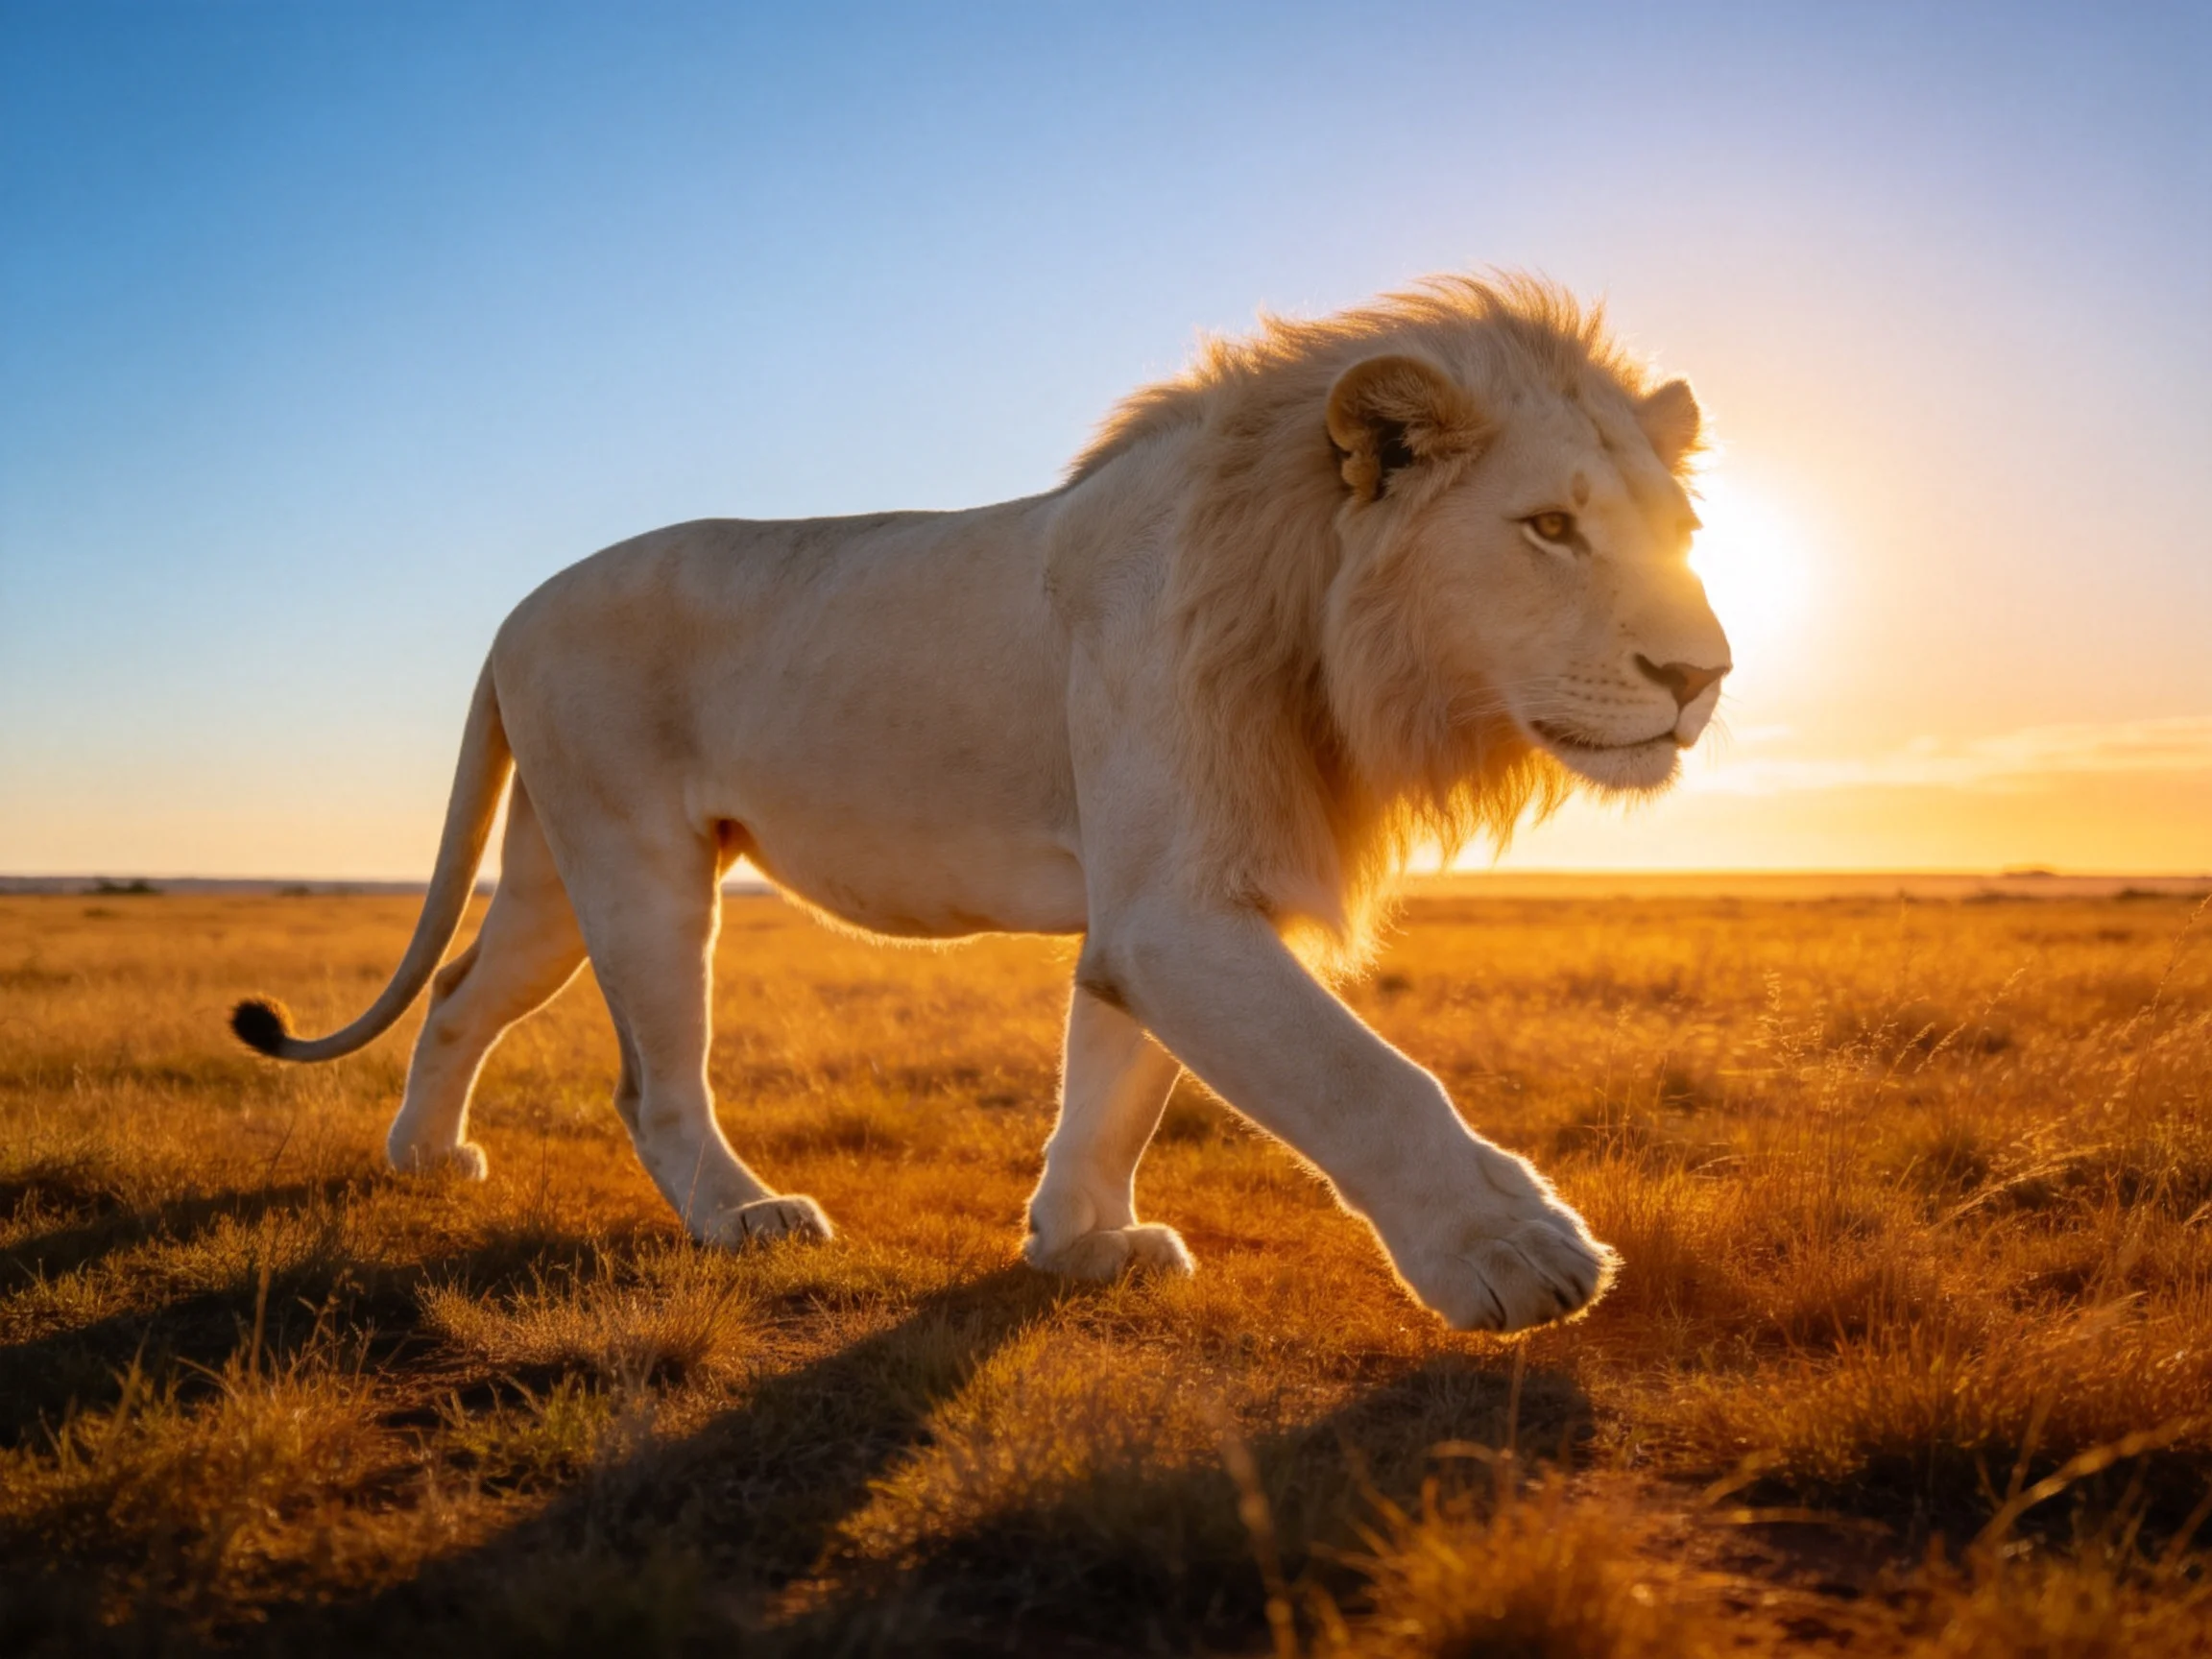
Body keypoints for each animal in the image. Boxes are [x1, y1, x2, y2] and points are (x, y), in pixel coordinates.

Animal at [230, 273, 1730, 1332]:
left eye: (1679, 536)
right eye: (1549, 528)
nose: (1704, 675)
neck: (1317, 620)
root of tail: (513, 612)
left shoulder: (1168, 898)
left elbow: (1117, 1080)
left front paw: (1082, 1245)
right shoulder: (1177, 911)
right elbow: (1362, 1077)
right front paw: (1517, 1252)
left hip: (554, 870)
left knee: (461, 991)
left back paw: (422, 1162)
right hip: (637, 863)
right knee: (652, 1079)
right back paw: (742, 1217)